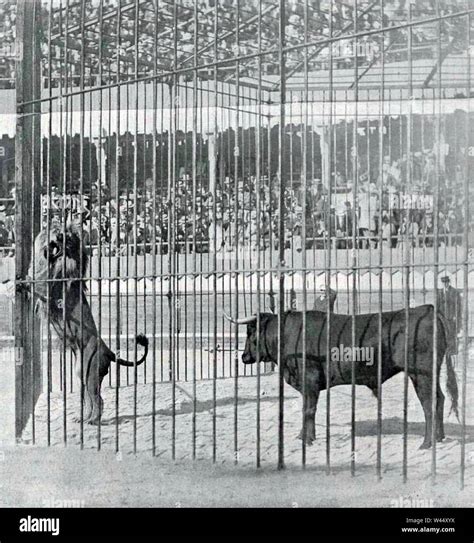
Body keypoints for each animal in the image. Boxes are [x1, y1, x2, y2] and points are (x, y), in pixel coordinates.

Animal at [30, 221, 148, 424]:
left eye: (67, 236)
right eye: (56, 231)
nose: (59, 237)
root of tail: (109, 351)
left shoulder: (50, 291)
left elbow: (36, 284)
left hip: (91, 373)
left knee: (98, 400)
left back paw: (92, 420)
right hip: (82, 374)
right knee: (89, 400)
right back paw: (83, 419)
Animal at [226, 306, 460, 450]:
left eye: (250, 332)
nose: (244, 357)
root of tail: (428, 309)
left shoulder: (310, 380)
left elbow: (308, 409)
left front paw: (307, 440)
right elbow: (307, 410)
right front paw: (304, 436)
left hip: (421, 374)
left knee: (429, 403)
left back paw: (427, 443)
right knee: (439, 399)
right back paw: (439, 437)